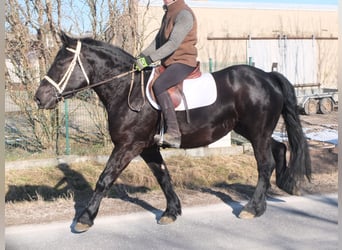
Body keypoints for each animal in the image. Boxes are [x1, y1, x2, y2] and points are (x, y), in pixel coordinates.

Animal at [34, 32, 310, 232]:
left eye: (61, 62)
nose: (39, 98)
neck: (126, 89)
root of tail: (267, 76)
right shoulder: (147, 147)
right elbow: (163, 176)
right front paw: (171, 211)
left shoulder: (128, 145)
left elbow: (105, 179)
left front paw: (85, 218)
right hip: (252, 131)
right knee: (279, 148)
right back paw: (285, 185)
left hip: (257, 132)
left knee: (265, 164)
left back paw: (253, 207)